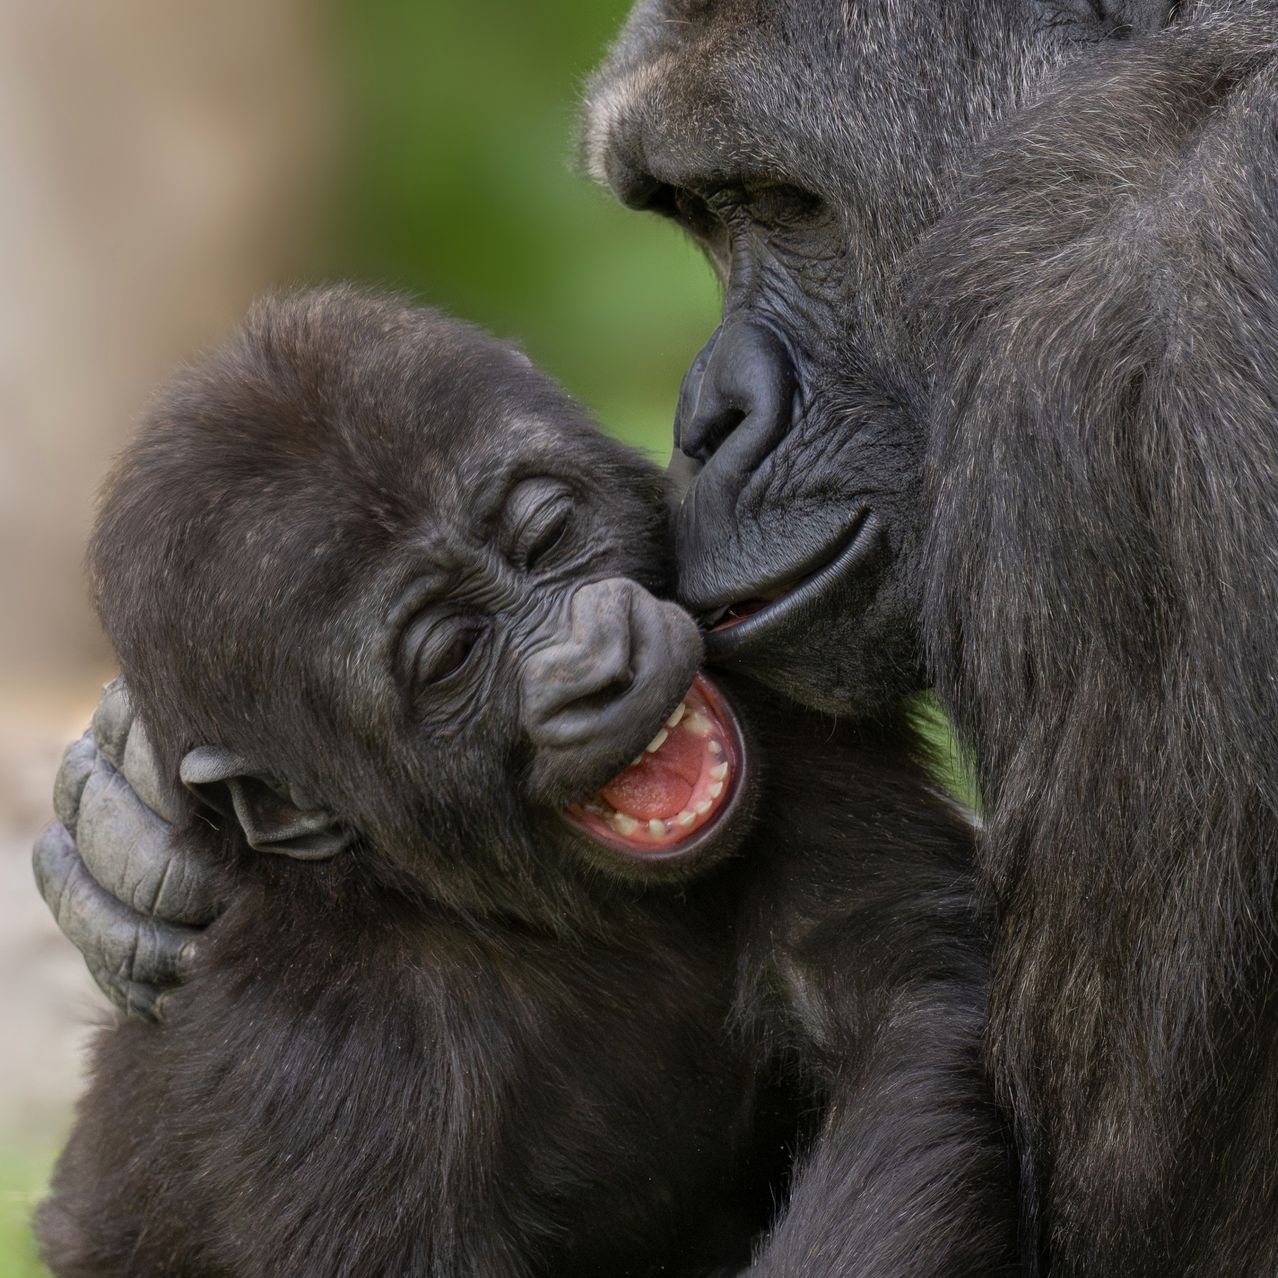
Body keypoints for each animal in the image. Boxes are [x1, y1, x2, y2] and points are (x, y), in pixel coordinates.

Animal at [37, 287, 1014, 1276]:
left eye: (546, 535)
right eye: (453, 654)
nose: (602, 666)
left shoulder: (796, 725)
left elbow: (901, 1016)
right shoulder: (331, 1064)